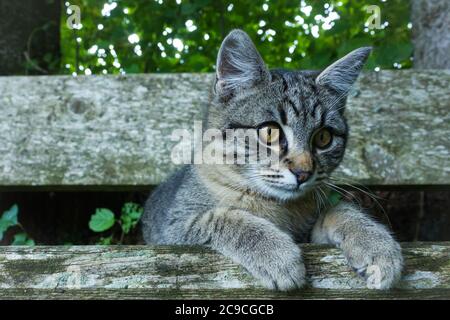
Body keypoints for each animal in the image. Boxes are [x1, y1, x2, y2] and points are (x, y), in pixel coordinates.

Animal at [142, 29, 402, 290]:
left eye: (324, 137)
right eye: (270, 132)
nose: (303, 173)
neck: (275, 203)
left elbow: (338, 209)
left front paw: (375, 243)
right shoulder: (173, 229)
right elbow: (220, 217)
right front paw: (276, 253)